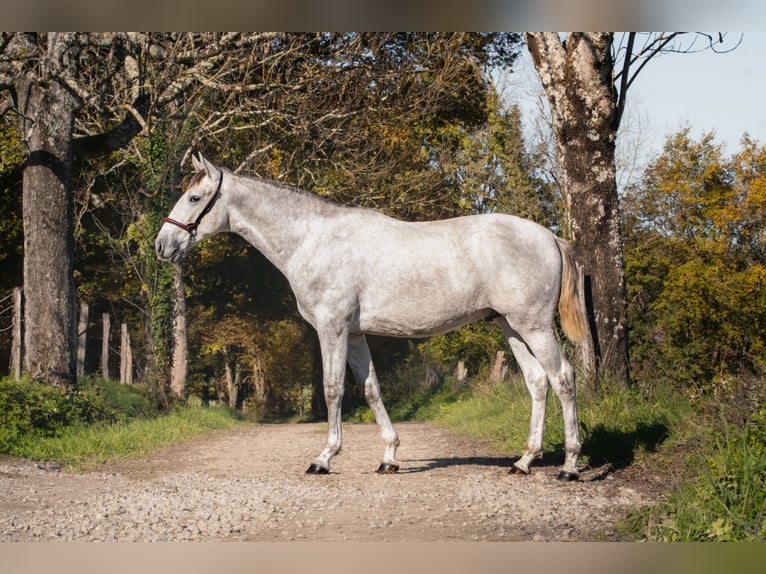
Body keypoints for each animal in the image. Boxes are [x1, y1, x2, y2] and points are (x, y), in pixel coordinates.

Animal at [154, 153, 588, 482]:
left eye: (194, 197)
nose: (162, 245)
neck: (312, 239)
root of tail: (550, 237)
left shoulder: (332, 329)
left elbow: (333, 389)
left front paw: (324, 458)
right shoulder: (355, 334)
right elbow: (371, 389)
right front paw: (389, 457)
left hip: (534, 326)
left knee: (563, 378)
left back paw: (569, 465)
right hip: (510, 326)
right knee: (537, 382)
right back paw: (524, 461)